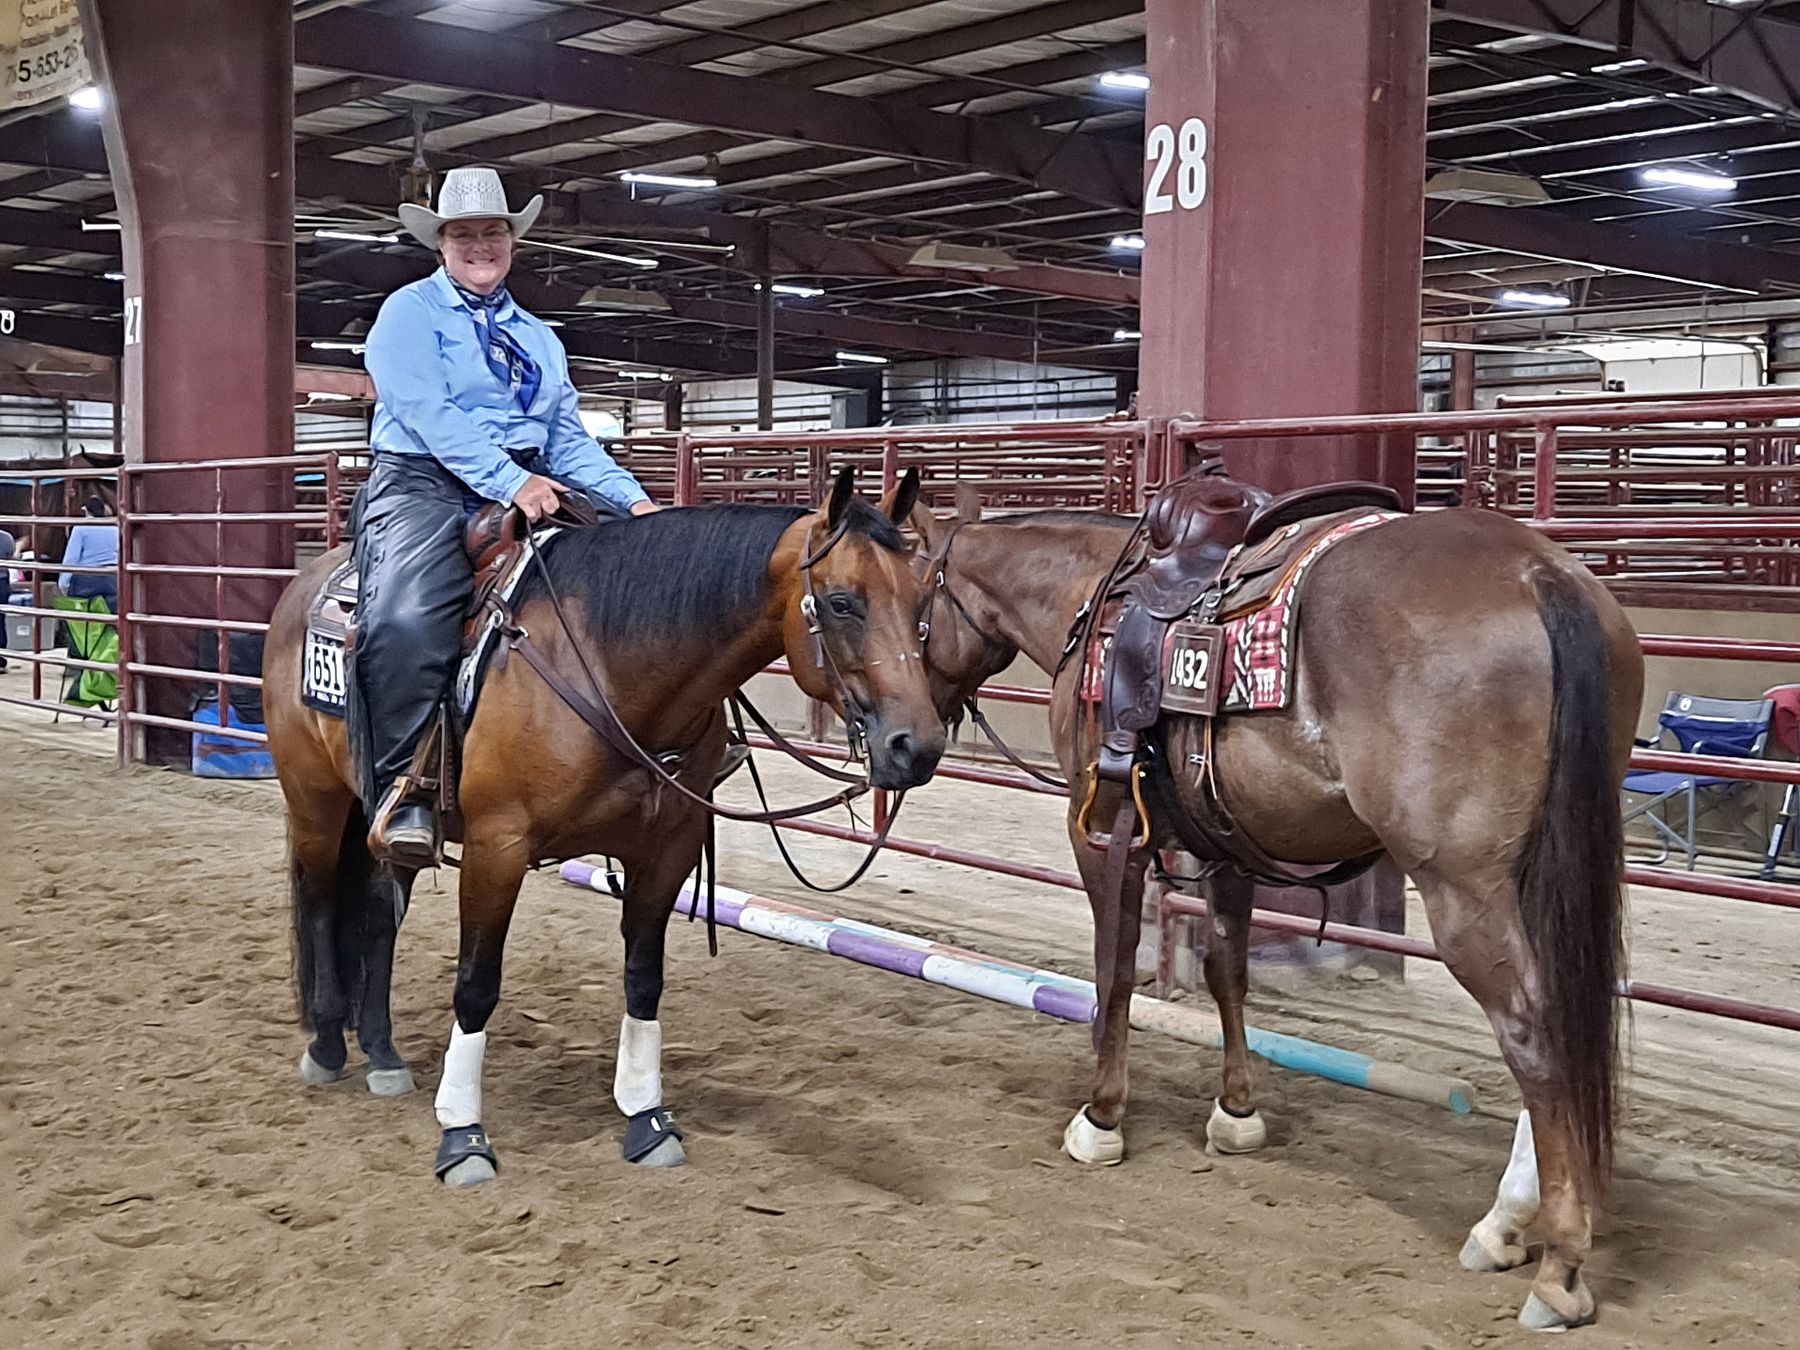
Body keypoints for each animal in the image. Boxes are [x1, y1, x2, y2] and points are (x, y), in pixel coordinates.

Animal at [263, 468, 946, 1183]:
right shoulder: (496, 848)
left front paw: (647, 1118)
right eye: (842, 603)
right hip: (315, 800)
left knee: (375, 915)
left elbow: (644, 979)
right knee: (319, 900)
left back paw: (383, 1054)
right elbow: (476, 985)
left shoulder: (667, 852)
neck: (611, 667)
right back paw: (328, 1048)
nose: (917, 746)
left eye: (922, 595)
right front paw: (463, 1136)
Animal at [909, 484, 1642, 1332]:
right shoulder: (1228, 841)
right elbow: (1227, 970)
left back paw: (1558, 1266)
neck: (1090, 600)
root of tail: (1537, 573)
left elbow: (1115, 971)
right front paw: (1236, 1112)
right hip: (1537, 873)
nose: (910, 737)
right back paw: (1505, 1224)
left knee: (1532, 1030)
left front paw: (1101, 1117)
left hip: (1467, 891)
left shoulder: (1100, 831)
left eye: (911, 600)